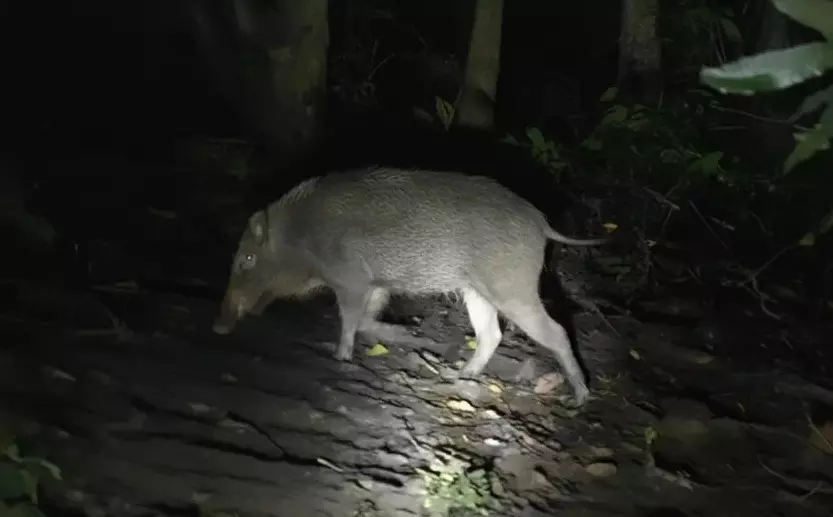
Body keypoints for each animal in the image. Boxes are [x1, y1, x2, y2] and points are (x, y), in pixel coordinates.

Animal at [213, 166, 607, 405]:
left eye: (247, 258)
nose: (217, 328)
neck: (300, 235)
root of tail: (542, 223)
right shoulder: (376, 285)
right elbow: (366, 321)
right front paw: (402, 335)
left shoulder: (351, 281)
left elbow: (349, 321)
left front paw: (338, 356)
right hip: (477, 292)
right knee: (492, 333)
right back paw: (460, 374)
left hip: (513, 288)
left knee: (555, 331)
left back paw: (580, 397)